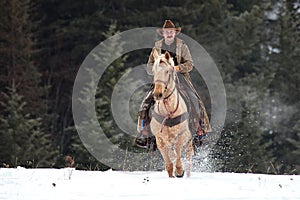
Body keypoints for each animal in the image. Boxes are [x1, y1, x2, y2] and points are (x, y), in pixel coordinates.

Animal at [150, 49, 195, 177]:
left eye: (167, 71)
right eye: (153, 71)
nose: (158, 94)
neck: (168, 112)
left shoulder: (183, 135)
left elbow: (178, 150)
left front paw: (179, 171)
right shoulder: (160, 140)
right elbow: (169, 163)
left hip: (189, 140)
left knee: (188, 155)